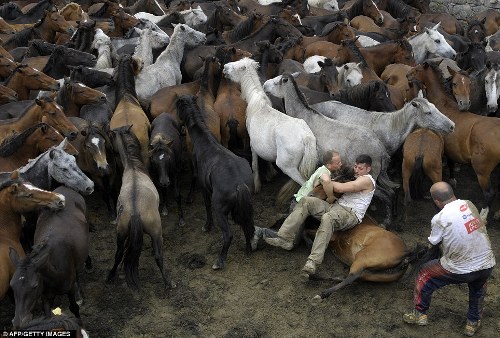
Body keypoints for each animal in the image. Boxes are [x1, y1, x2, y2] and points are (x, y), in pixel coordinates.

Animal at [10, 185, 90, 328]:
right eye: (12, 286)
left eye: (34, 285)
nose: (18, 322)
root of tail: (64, 186)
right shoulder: (45, 296)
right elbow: (48, 317)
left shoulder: (68, 288)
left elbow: (74, 307)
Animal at [106, 125, 175, 290]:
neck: (133, 168)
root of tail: (135, 211)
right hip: (156, 232)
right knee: (158, 256)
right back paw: (168, 282)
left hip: (121, 232)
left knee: (118, 253)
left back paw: (111, 276)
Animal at [175, 94, 254, 270]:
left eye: (176, 106)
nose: (178, 125)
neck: (204, 141)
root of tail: (239, 184)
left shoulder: (204, 188)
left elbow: (206, 206)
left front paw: (207, 226)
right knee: (247, 224)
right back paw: (248, 249)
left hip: (220, 210)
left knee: (228, 235)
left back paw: (219, 261)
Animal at [224, 58, 318, 195]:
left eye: (237, 67)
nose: (224, 67)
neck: (258, 104)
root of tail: (306, 137)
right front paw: (271, 173)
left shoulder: (252, 144)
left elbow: (255, 165)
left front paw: (257, 185)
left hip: (288, 168)